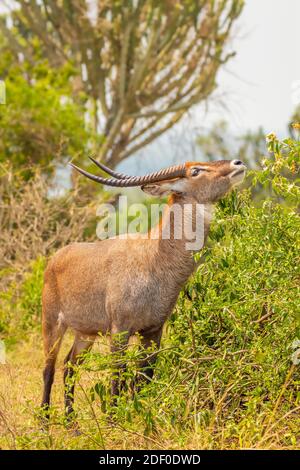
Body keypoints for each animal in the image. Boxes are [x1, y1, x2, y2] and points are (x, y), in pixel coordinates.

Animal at [40, 158, 246, 418]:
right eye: (195, 171)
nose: (237, 163)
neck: (153, 256)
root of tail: (56, 258)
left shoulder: (152, 331)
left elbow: (144, 377)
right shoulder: (120, 331)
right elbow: (118, 375)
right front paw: (114, 421)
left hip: (86, 334)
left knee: (69, 366)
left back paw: (71, 421)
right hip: (52, 324)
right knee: (49, 369)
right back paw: (45, 421)